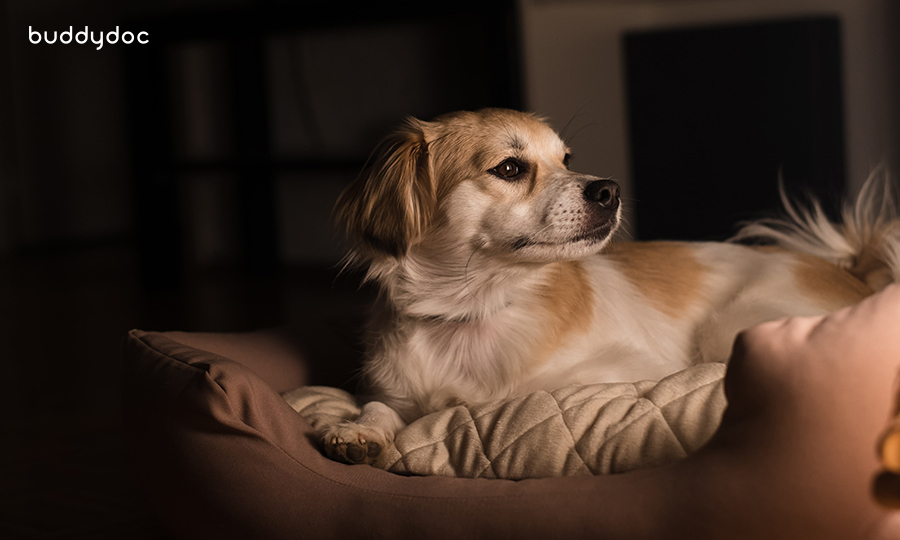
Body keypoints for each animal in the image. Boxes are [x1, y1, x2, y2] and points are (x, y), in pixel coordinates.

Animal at [324, 108, 900, 464]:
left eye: (566, 160)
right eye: (509, 168)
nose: (610, 189)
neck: (473, 312)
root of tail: (851, 271)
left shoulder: (621, 372)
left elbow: (515, 394)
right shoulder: (393, 389)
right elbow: (377, 406)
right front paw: (359, 431)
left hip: (730, 328)